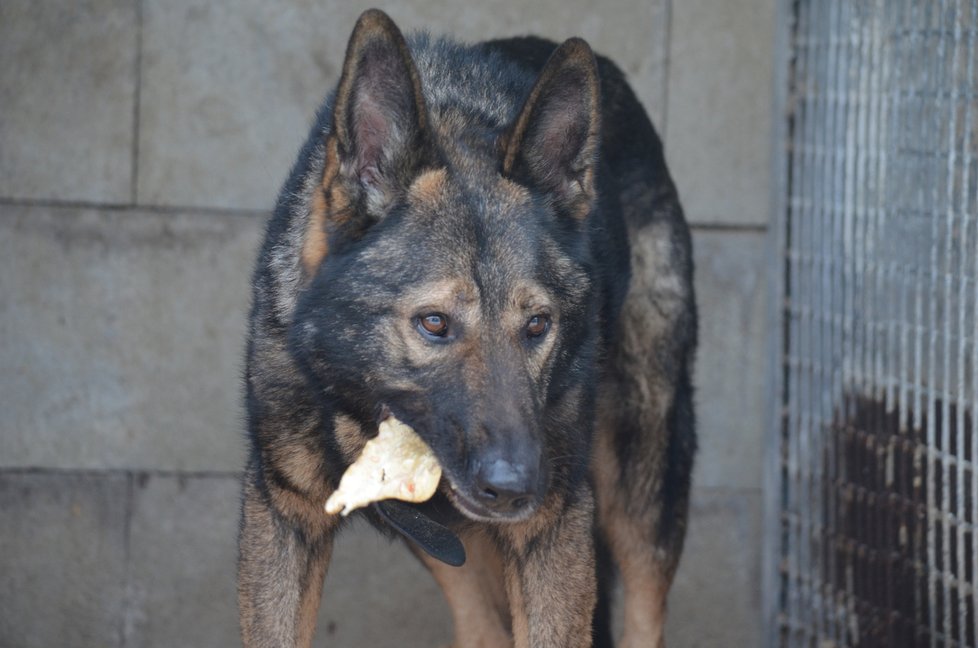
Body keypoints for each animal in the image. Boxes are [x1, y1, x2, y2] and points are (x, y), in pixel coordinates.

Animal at [236, 10, 692, 648]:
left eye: (537, 324)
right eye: (434, 323)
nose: (515, 486)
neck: (352, 401)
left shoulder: (553, 525)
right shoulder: (284, 516)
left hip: (641, 479)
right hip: (447, 539)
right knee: (483, 626)